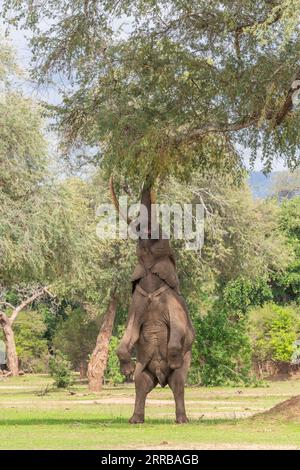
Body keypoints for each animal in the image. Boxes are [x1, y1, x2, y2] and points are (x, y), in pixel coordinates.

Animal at [110, 178, 195, 424]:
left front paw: (174, 359)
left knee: (178, 383)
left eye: (163, 234)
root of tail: (161, 379)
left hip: (185, 364)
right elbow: (128, 333)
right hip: (145, 367)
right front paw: (127, 370)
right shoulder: (136, 302)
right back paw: (135, 419)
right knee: (141, 384)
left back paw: (182, 419)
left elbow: (179, 329)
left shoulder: (173, 303)